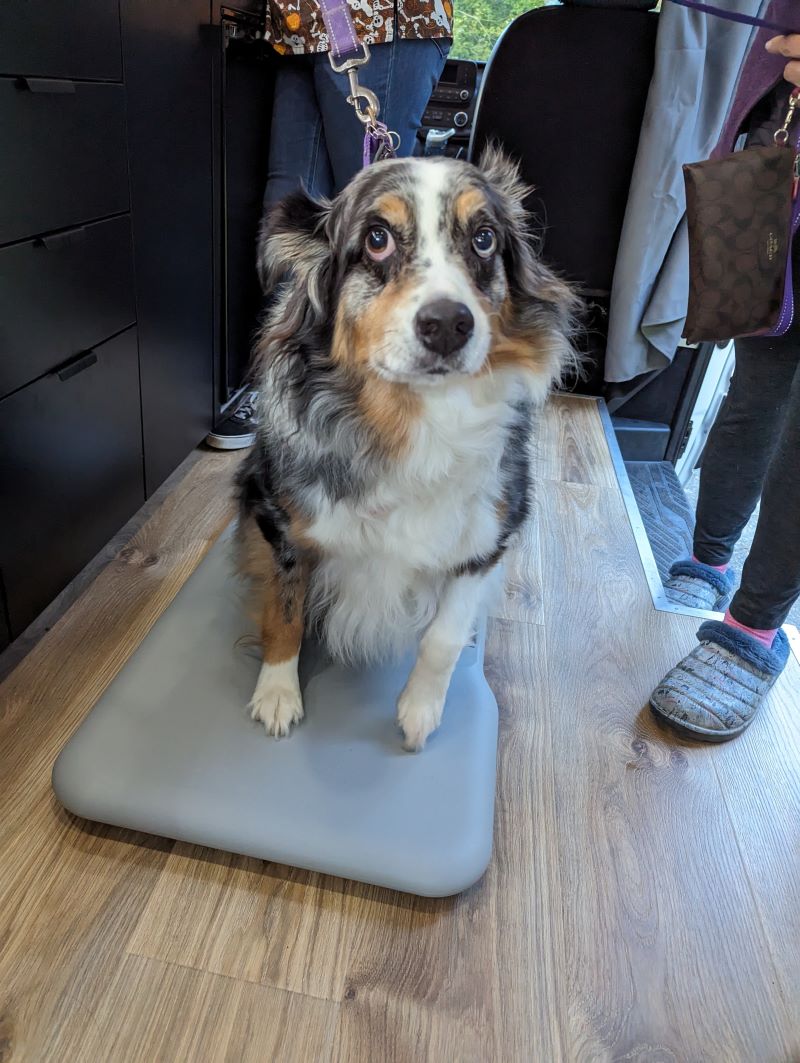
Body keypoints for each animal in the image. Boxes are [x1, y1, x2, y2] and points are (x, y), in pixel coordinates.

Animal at [233, 149, 577, 752]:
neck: (416, 417)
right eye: (377, 239)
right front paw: (276, 693)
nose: (448, 324)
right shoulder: (280, 518)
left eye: (484, 238)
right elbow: (285, 605)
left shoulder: (490, 532)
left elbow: (444, 635)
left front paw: (419, 710)